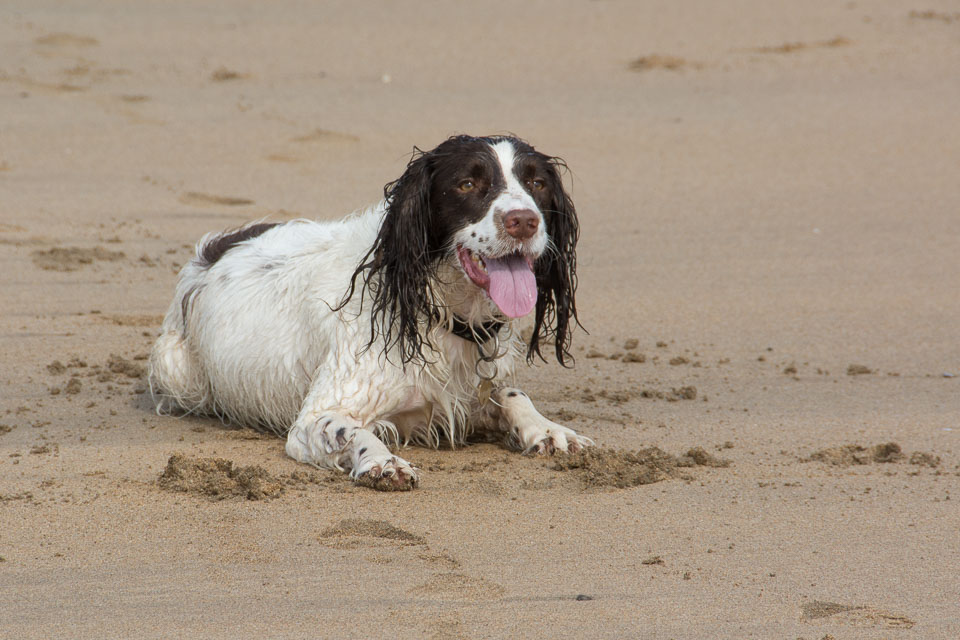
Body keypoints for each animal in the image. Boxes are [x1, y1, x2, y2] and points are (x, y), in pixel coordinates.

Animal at [150, 132, 592, 488]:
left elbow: (511, 393)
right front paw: (383, 461)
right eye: (467, 183)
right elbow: (349, 429)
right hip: (175, 370)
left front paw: (551, 431)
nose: (524, 221)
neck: (435, 309)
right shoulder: (315, 417)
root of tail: (213, 249)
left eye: (536, 183)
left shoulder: (470, 392)